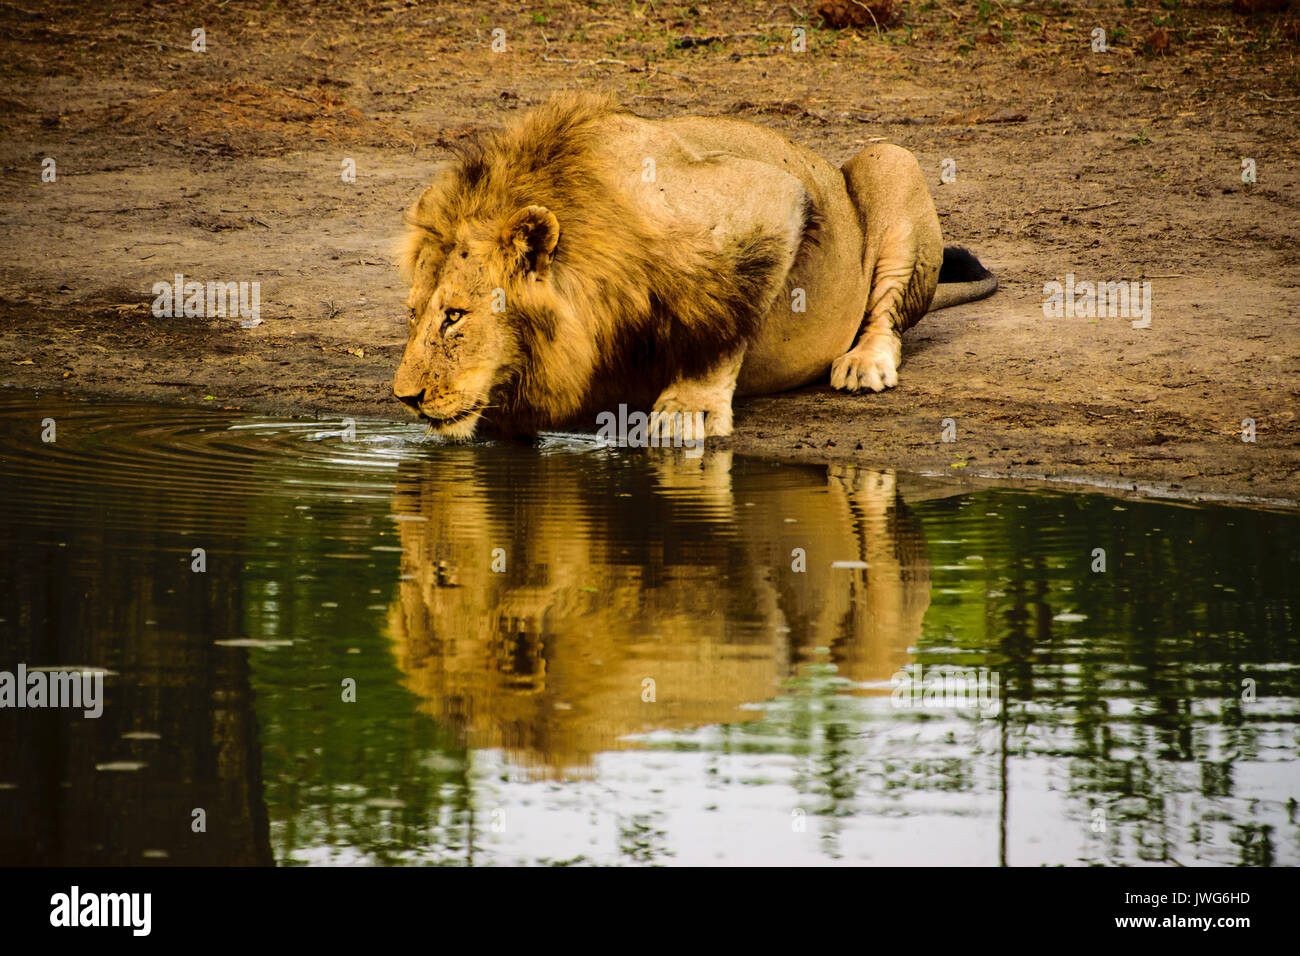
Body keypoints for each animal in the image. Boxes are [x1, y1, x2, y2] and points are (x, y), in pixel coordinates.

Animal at [395, 89, 993, 442]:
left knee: (886, 314)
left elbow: (722, 322)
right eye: (413, 315)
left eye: (454, 316)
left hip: (887, 158)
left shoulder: (768, 200)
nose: (406, 399)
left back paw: (864, 362)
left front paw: (689, 410)